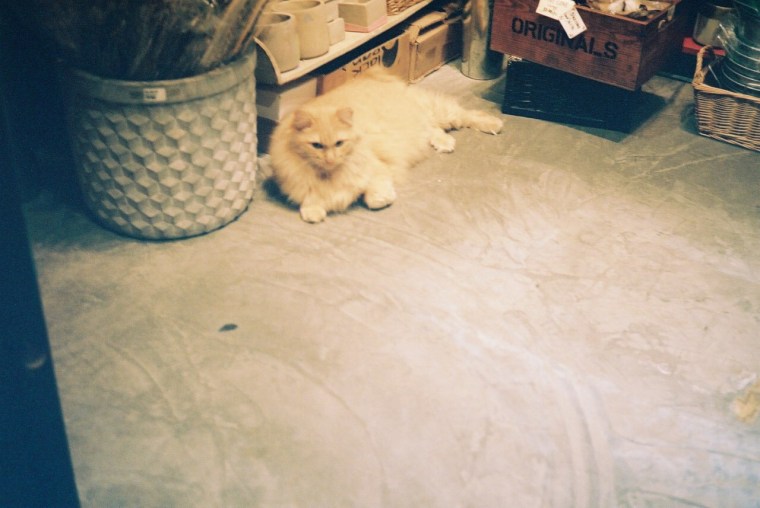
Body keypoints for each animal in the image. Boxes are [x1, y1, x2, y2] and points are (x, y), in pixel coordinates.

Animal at [268, 68, 504, 223]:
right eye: (316, 145)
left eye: (339, 143)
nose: (330, 159)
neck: (328, 175)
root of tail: (373, 73)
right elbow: (309, 205)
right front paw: (314, 212)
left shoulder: (376, 169)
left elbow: (374, 196)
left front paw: (382, 198)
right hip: (423, 121)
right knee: (433, 130)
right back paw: (444, 143)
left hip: (441, 112)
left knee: (466, 115)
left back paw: (494, 125)